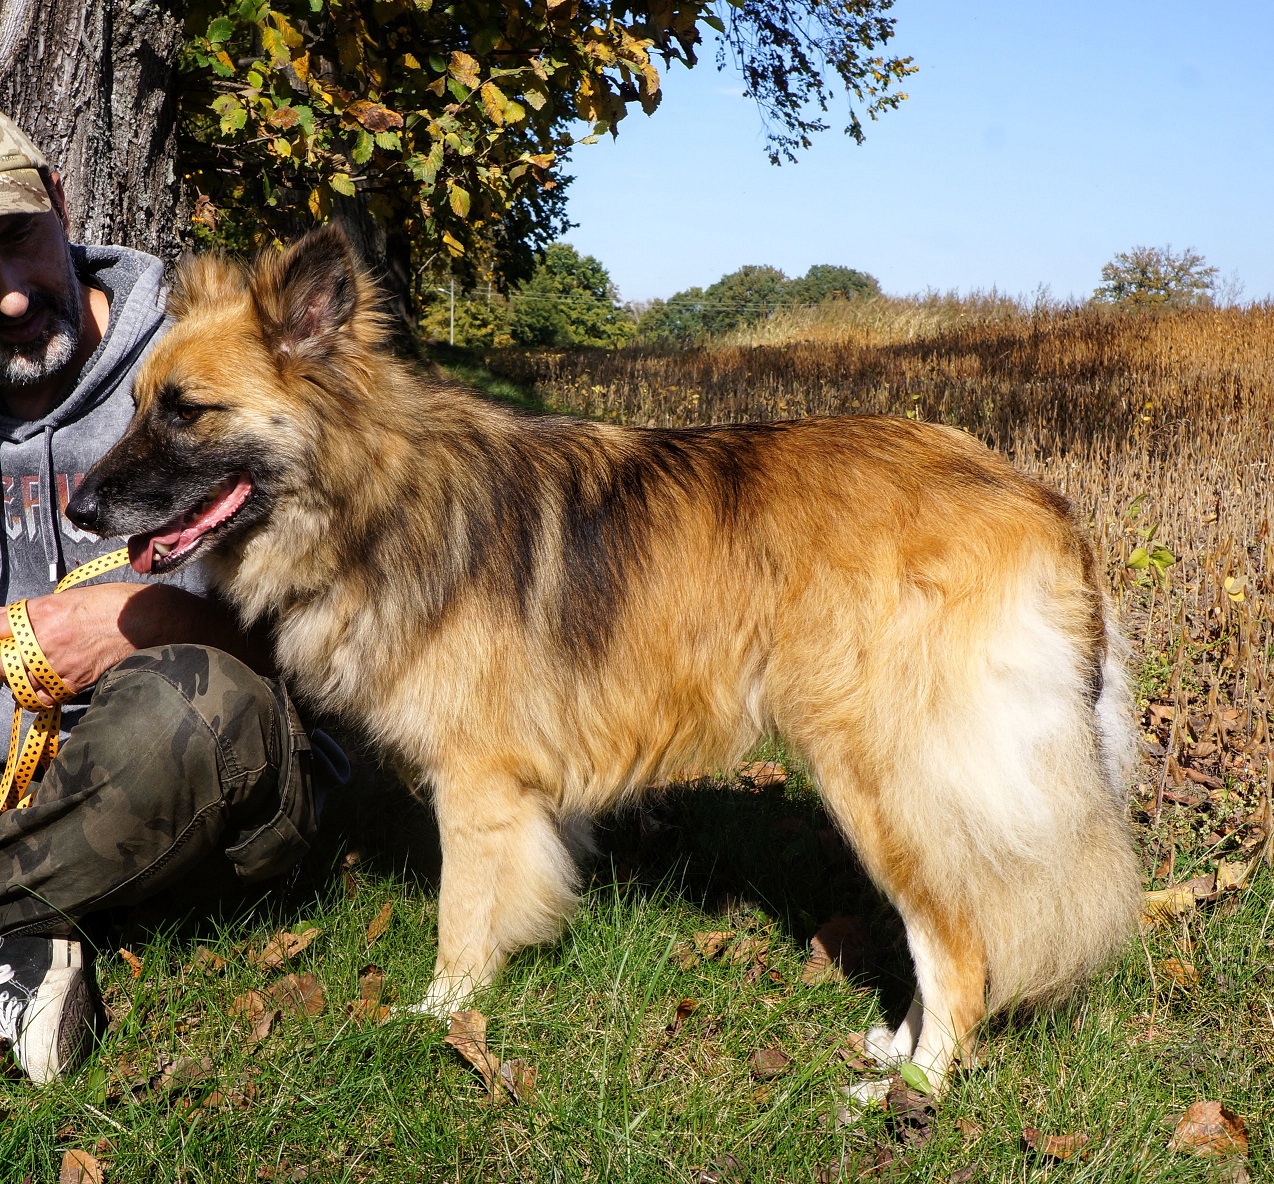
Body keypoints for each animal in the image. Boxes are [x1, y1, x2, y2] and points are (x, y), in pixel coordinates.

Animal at [66, 226, 1140, 1091]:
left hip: (878, 771)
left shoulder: (478, 782)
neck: (377, 492)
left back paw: (911, 1087)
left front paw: (438, 1015)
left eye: (187, 410)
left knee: (958, 942)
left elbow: (462, 916)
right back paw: (897, 1048)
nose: (79, 509)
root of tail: (1042, 504)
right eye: (137, 404)